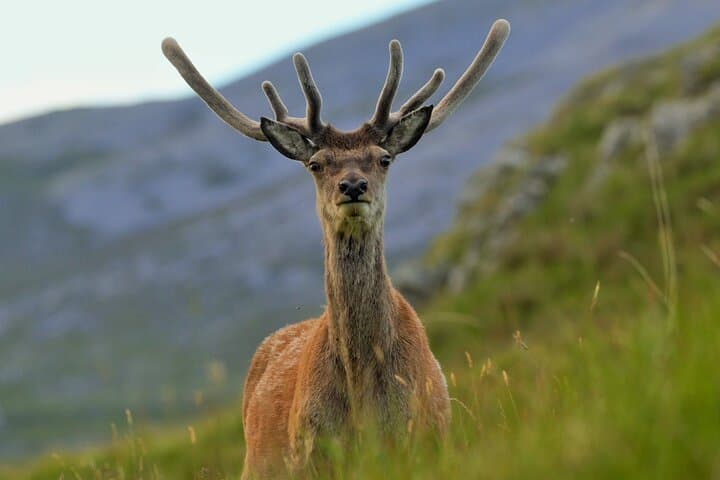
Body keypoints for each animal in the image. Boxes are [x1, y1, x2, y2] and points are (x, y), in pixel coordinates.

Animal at [162, 18, 509, 479]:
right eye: (316, 164)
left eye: (383, 158)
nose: (353, 185)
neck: (362, 395)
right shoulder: (311, 451)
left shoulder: (428, 438)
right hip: (256, 463)